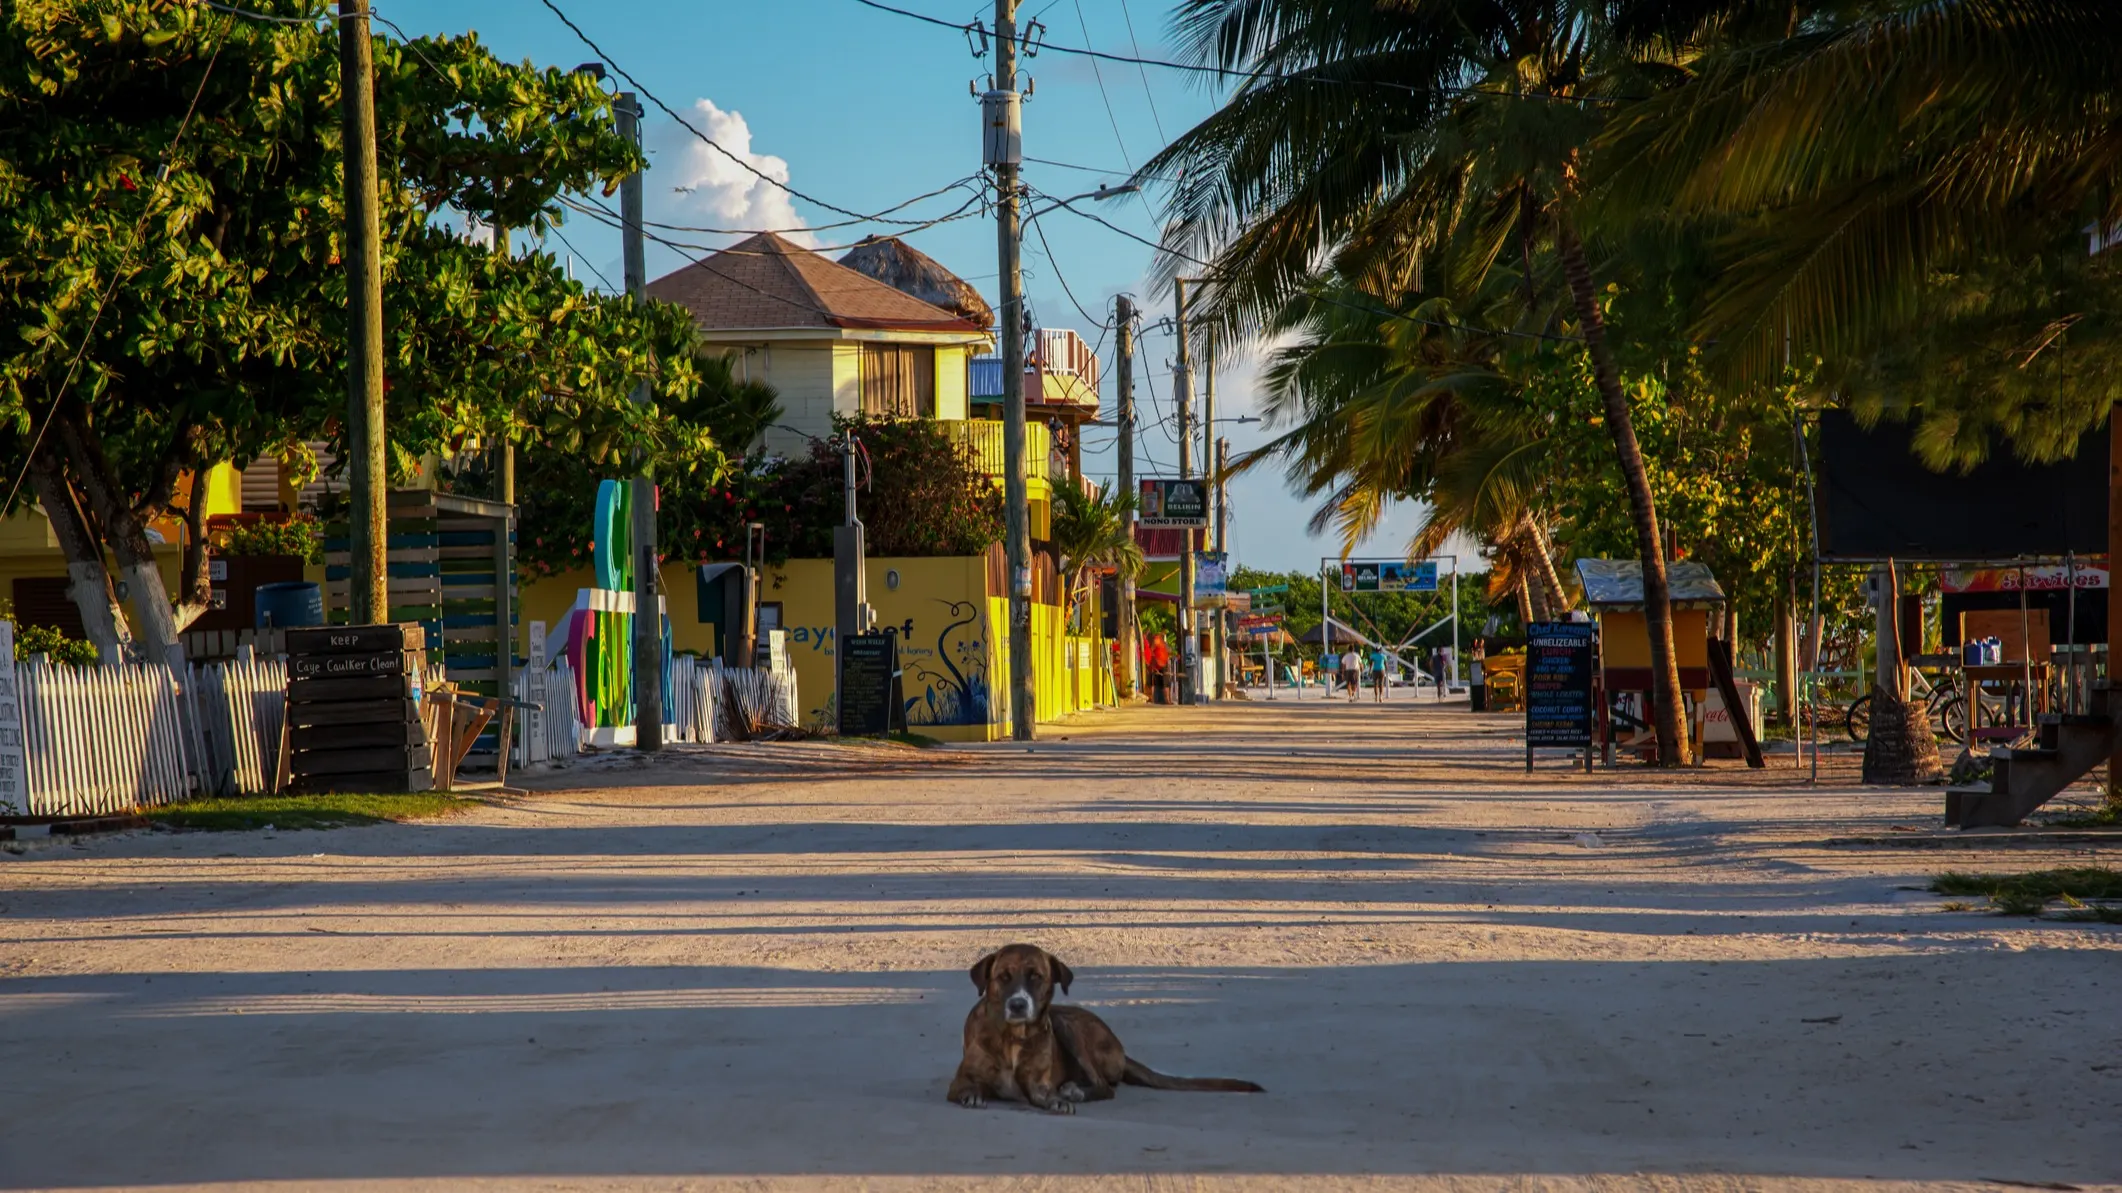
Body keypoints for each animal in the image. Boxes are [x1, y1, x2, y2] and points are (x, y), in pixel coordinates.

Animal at [946, 942, 1256, 1112]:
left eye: (1036, 977)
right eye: (1003, 976)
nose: (1018, 1005)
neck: (1013, 1036)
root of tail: (1122, 1051)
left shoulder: (1038, 1086)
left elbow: (1048, 1095)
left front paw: (1059, 1101)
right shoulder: (959, 1082)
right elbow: (969, 1088)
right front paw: (973, 1096)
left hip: (1067, 1026)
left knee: (1105, 1087)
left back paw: (1076, 1091)